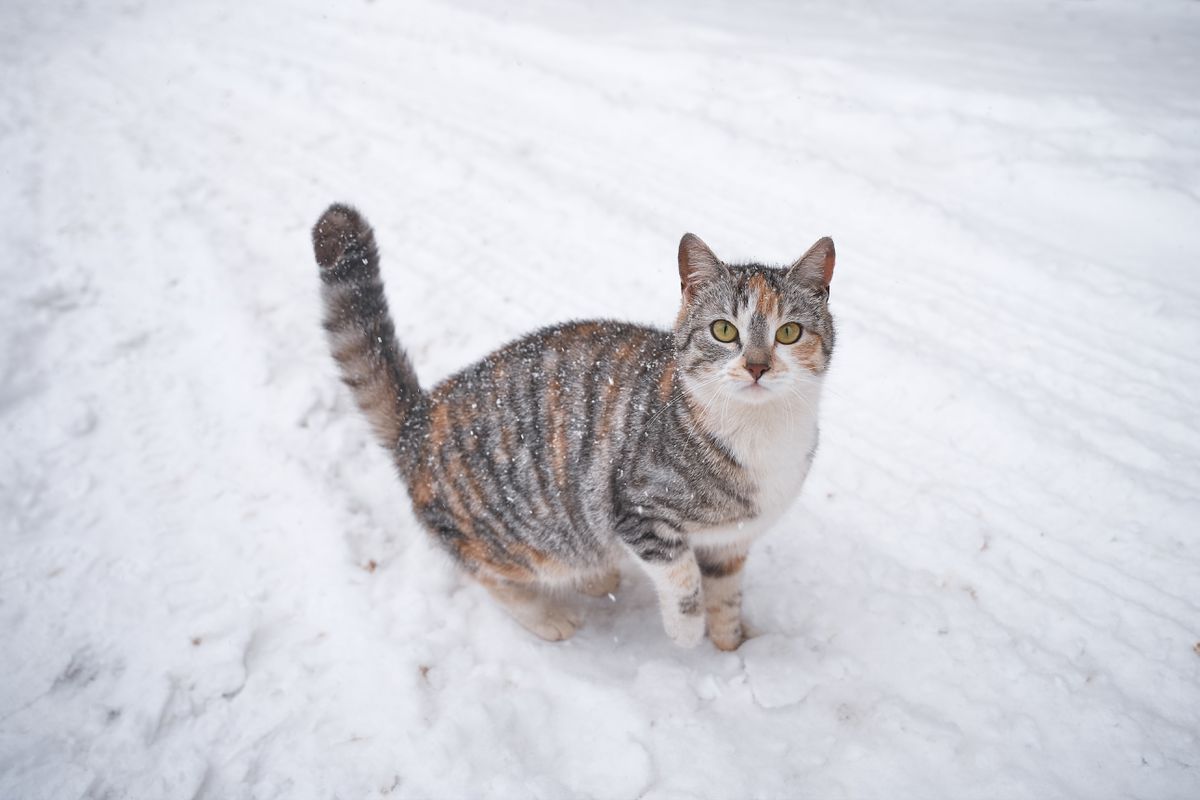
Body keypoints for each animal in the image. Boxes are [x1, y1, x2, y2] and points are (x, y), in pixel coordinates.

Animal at [309, 206, 835, 652]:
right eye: (724, 331)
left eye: (789, 333)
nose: (757, 366)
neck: (760, 431)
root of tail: (422, 415)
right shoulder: (638, 510)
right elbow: (682, 577)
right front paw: (687, 632)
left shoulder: (732, 541)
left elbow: (726, 592)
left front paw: (732, 641)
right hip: (515, 536)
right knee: (489, 573)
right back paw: (548, 615)